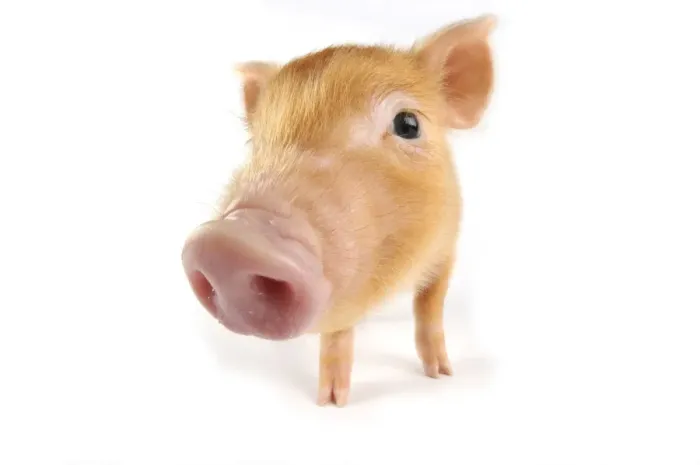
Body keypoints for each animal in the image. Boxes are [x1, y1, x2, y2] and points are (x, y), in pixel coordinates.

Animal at [181, 14, 496, 406]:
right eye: (256, 142)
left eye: (408, 124)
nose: (232, 241)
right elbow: (337, 334)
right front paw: (332, 402)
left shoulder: (448, 248)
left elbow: (430, 308)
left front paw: (440, 374)